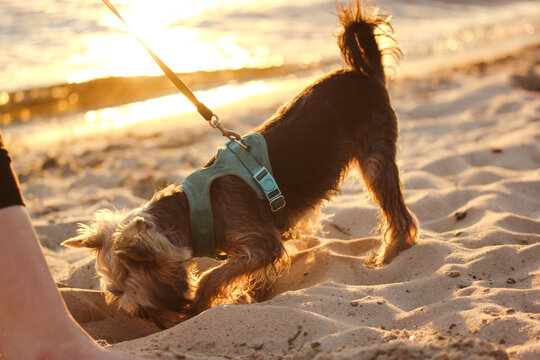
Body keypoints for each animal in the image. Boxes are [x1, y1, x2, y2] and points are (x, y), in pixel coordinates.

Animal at [62, 1, 418, 330]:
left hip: (374, 157)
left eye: (142, 307)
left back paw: (388, 254)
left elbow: (213, 276)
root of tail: (365, 73)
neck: (192, 211)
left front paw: (201, 303)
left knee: (397, 213)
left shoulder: (261, 243)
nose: (161, 325)